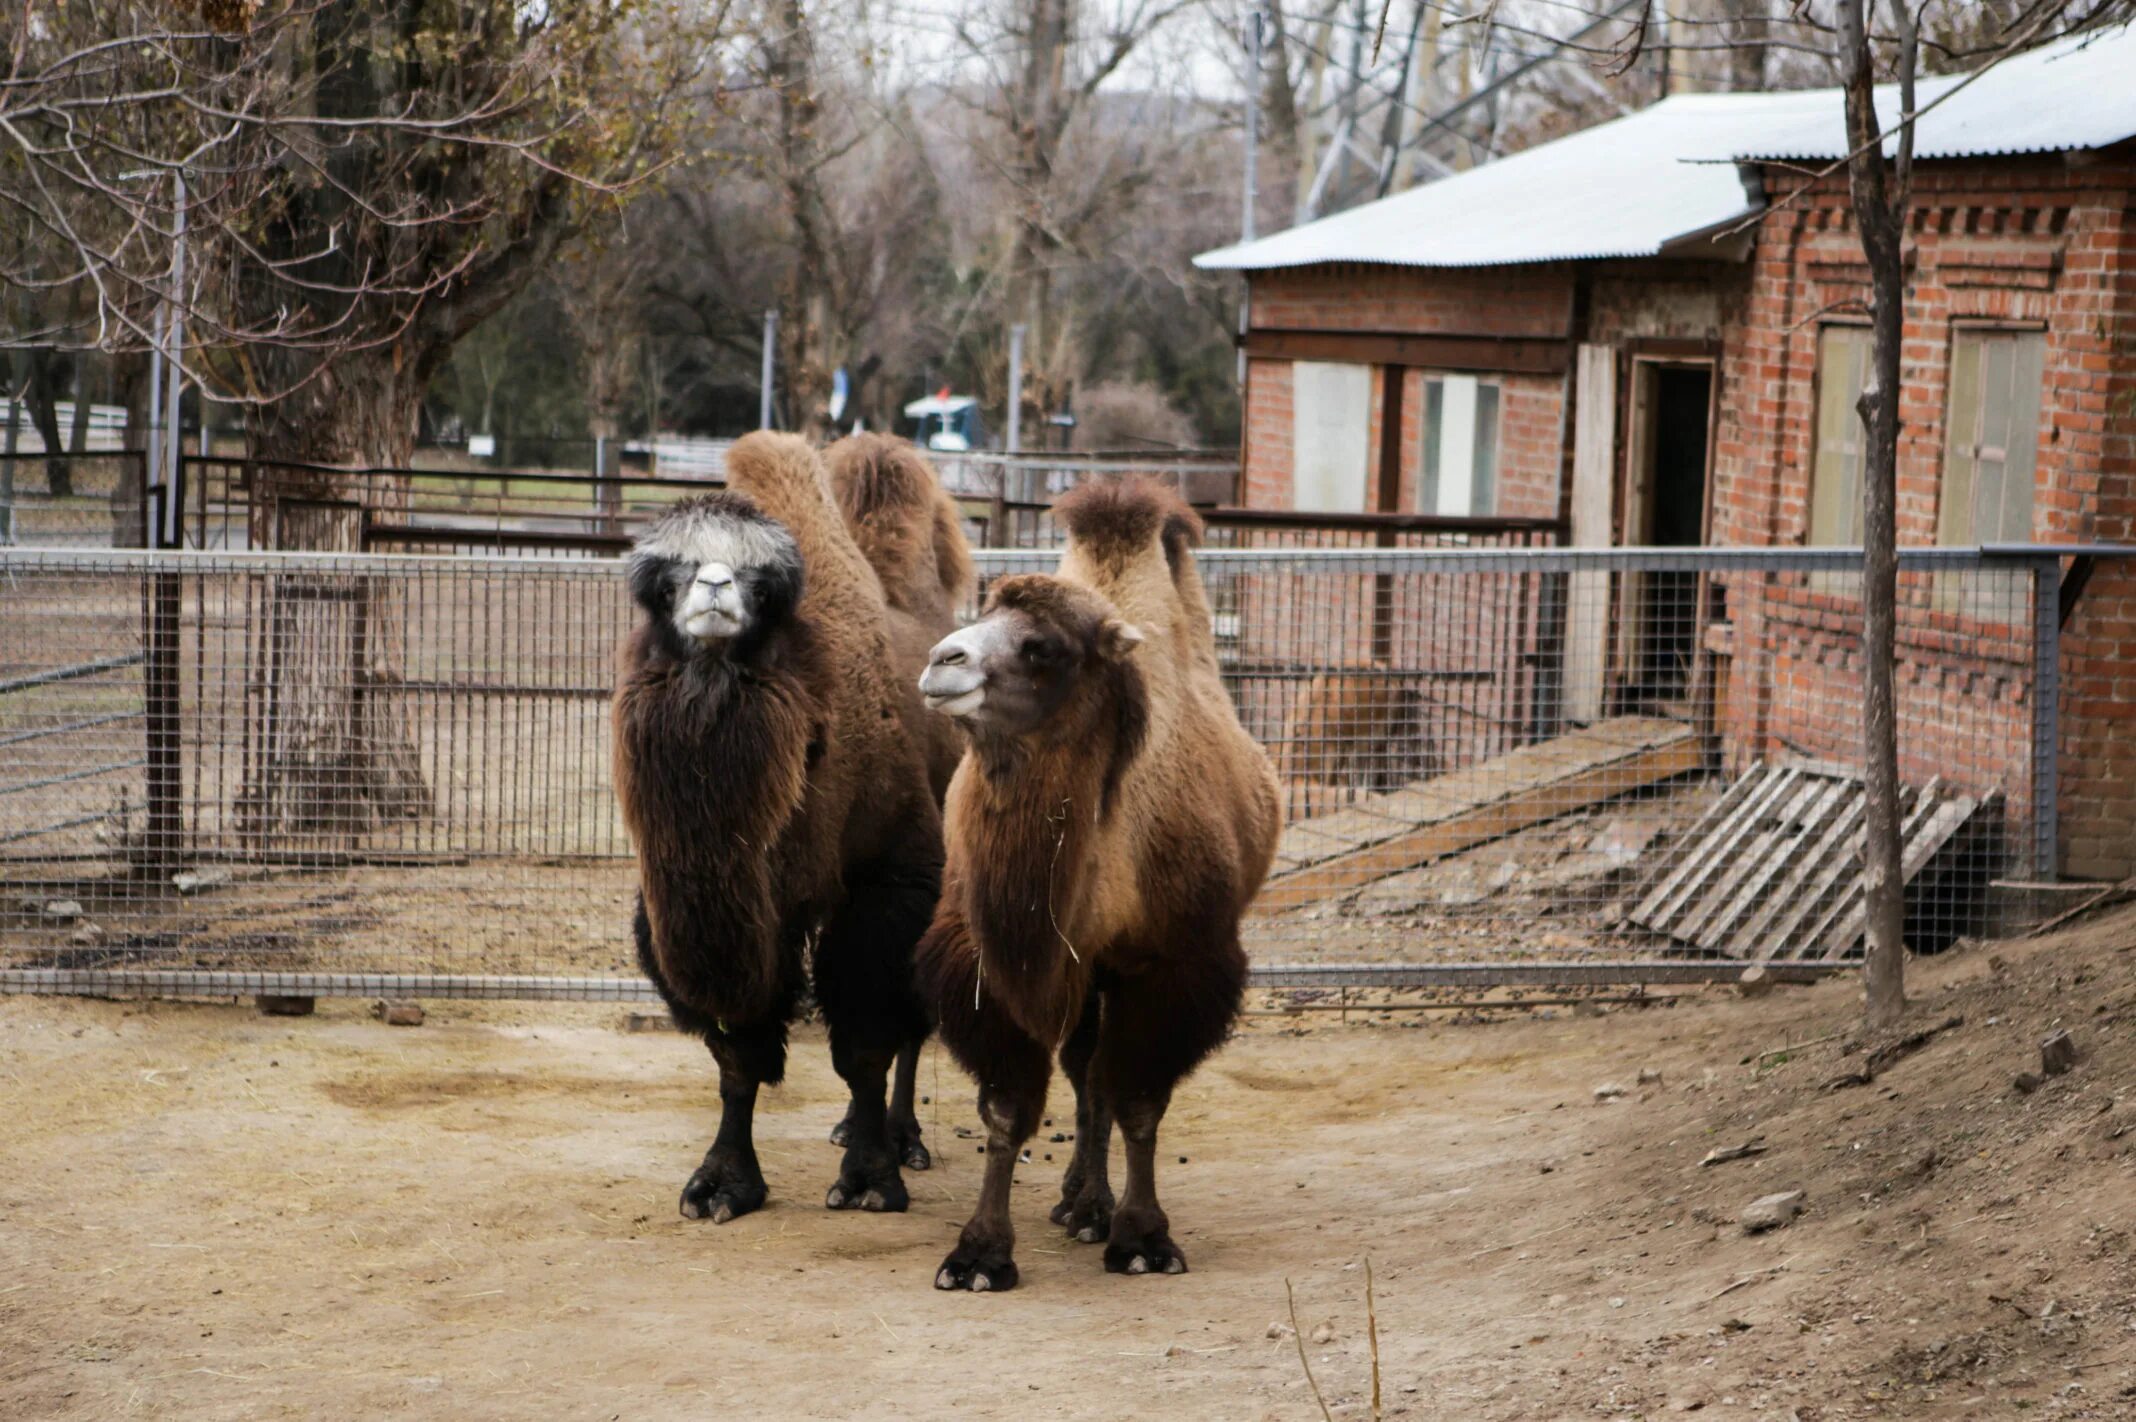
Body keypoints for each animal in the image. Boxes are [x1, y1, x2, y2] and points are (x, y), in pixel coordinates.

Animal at [909, 476, 1273, 1281]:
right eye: (983, 613)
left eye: (1040, 646)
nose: (942, 660)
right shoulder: (989, 957)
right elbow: (1010, 1106)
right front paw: (980, 1253)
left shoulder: (1177, 960)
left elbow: (1137, 1097)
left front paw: (1142, 1239)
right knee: (1083, 1070)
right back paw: (1081, 1199)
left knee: (1099, 1074)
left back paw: (1092, 1205)